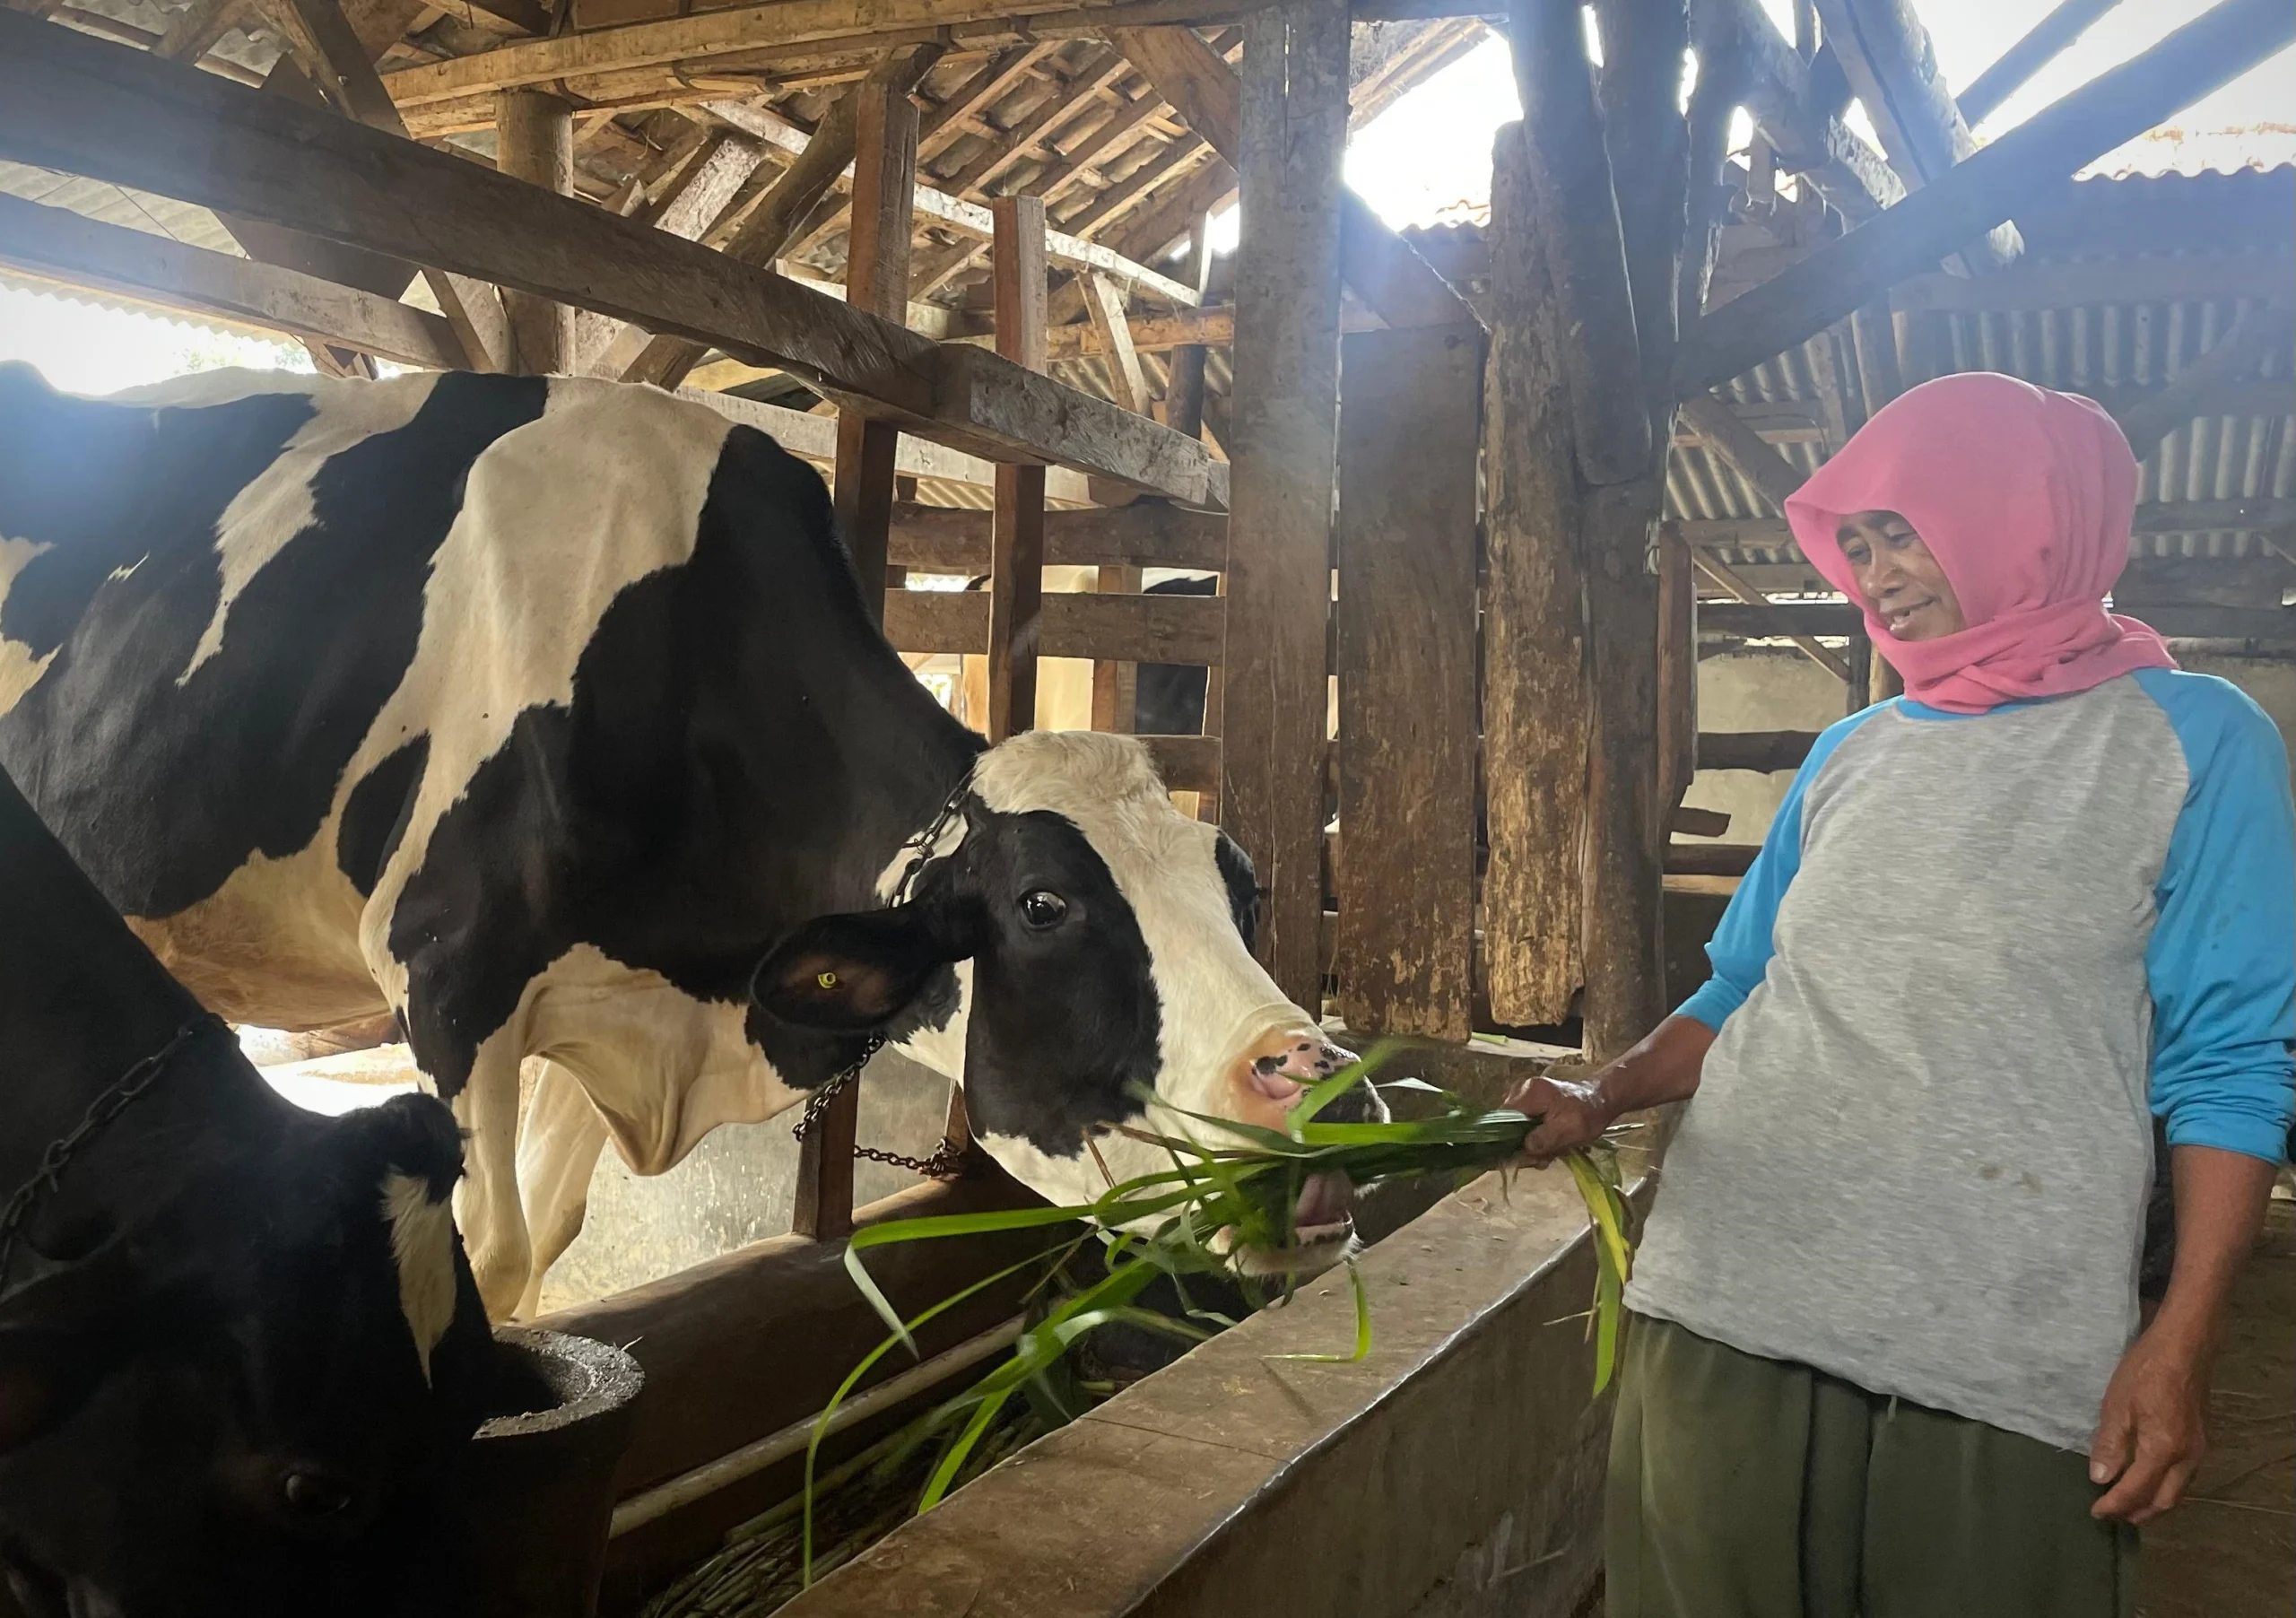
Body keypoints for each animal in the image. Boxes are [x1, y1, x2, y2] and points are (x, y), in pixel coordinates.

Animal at [0, 362, 1368, 1312]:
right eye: (1044, 904)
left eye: (1243, 890)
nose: (1326, 1088)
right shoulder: (446, 977)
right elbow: (481, 1250)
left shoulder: (593, 1003)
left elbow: (536, 1250)